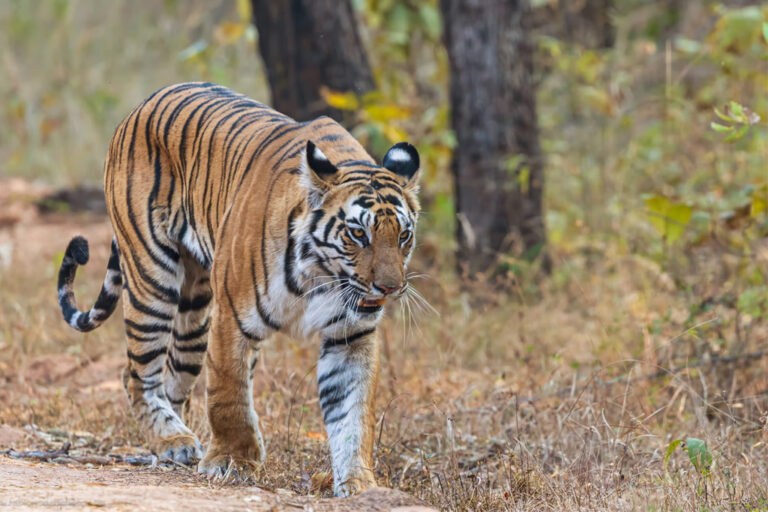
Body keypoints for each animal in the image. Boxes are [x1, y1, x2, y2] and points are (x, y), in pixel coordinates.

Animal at [55, 82, 421, 496]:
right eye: (358, 234)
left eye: (404, 236)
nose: (389, 288)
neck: (322, 275)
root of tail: (143, 104)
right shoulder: (233, 316)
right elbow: (229, 393)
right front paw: (232, 460)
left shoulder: (351, 336)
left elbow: (353, 415)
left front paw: (360, 484)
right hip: (152, 280)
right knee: (136, 374)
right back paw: (173, 441)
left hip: (194, 310)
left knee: (172, 379)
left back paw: (178, 440)